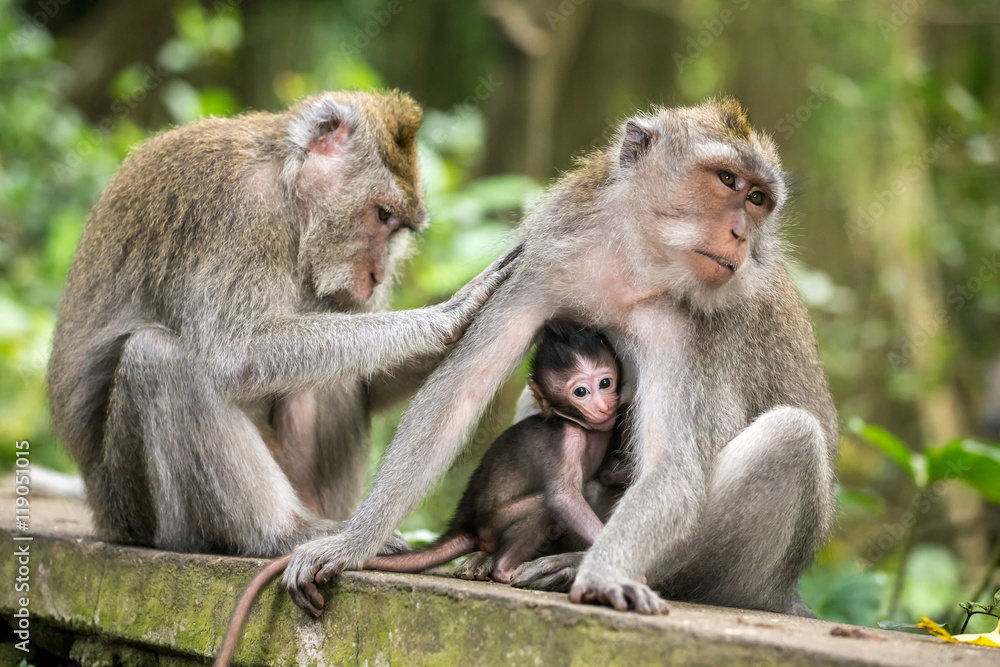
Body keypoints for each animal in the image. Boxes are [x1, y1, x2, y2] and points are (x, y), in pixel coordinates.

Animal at [46, 88, 516, 560]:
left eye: (398, 227)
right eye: (383, 215)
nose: (378, 275)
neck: (289, 192)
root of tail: (102, 512)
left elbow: (370, 383)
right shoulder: (243, 212)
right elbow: (237, 355)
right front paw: (447, 315)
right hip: (137, 511)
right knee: (159, 359)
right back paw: (282, 532)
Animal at [364, 320, 620, 584]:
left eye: (605, 383)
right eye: (581, 392)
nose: (603, 406)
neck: (576, 422)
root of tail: (466, 525)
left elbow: (607, 473)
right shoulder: (568, 441)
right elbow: (564, 497)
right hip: (493, 524)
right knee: (543, 505)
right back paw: (506, 571)